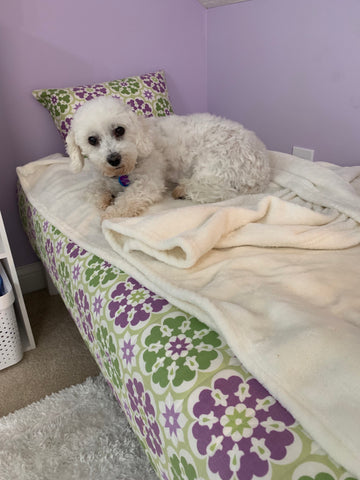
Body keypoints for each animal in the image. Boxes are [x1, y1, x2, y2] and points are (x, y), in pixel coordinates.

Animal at [65, 95, 270, 218]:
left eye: (119, 130)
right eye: (92, 140)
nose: (114, 159)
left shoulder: (149, 182)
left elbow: (129, 198)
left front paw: (112, 212)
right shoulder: (103, 178)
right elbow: (91, 188)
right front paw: (103, 198)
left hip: (214, 163)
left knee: (218, 190)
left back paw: (182, 190)